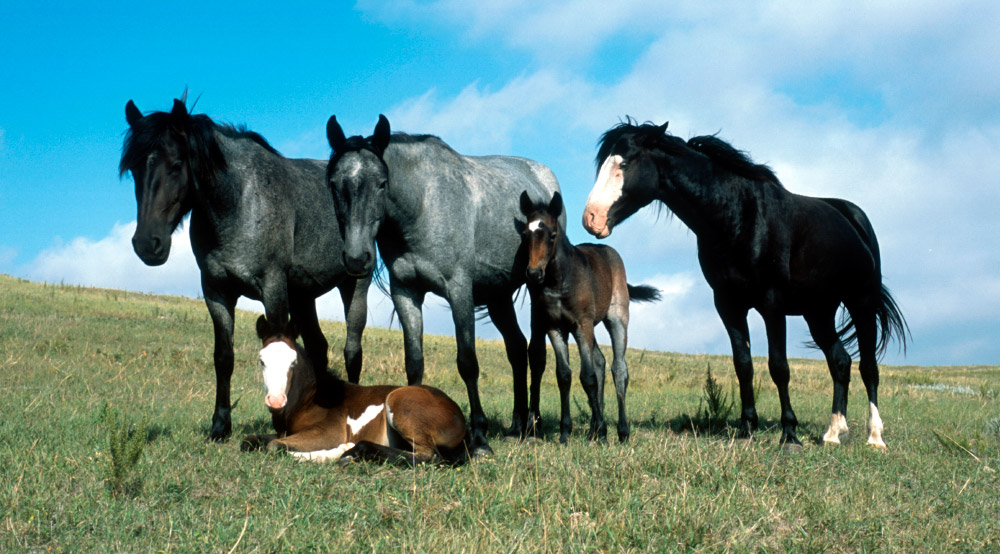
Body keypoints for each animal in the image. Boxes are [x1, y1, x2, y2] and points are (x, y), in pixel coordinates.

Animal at [121, 97, 372, 438]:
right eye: (133, 169)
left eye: (176, 164)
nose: (147, 244)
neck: (239, 202)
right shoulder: (216, 292)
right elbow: (223, 357)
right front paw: (220, 426)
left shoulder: (273, 288)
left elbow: (281, 346)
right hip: (303, 296)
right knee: (318, 347)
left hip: (354, 286)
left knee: (352, 351)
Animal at [326, 114, 564, 454]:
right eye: (334, 184)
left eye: (382, 183)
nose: (357, 258)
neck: (423, 205)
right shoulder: (406, 292)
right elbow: (414, 362)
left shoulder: (459, 290)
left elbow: (467, 362)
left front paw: (479, 438)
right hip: (499, 295)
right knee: (517, 349)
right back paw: (516, 426)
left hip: (535, 288)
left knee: (536, 354)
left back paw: (533, 427)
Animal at [520, 192, 660, 442]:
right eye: (526, 234)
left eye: (552, 235)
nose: (534, 273)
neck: (560, 280)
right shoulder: (555, 327)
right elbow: (564, 375)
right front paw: (566, 432)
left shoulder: (581, 325)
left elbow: (588, 377)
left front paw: (603, 432)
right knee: (601, 362)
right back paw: (594, 428)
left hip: (616, 319)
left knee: (618, 368)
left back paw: (621, 431)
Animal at [584, 121, 912, 448]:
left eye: (624, 164)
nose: (591, 219)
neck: (739, 215)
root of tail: (855, 218)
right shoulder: (728, 304)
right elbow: (743, 365)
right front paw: (746, 429)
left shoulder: (772, 303)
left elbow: (779, 367)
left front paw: (789, 434)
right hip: (818, 313)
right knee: (840, 362)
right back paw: (833, 433)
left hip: (861, 303)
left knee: (868, 367)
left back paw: (875, 437)